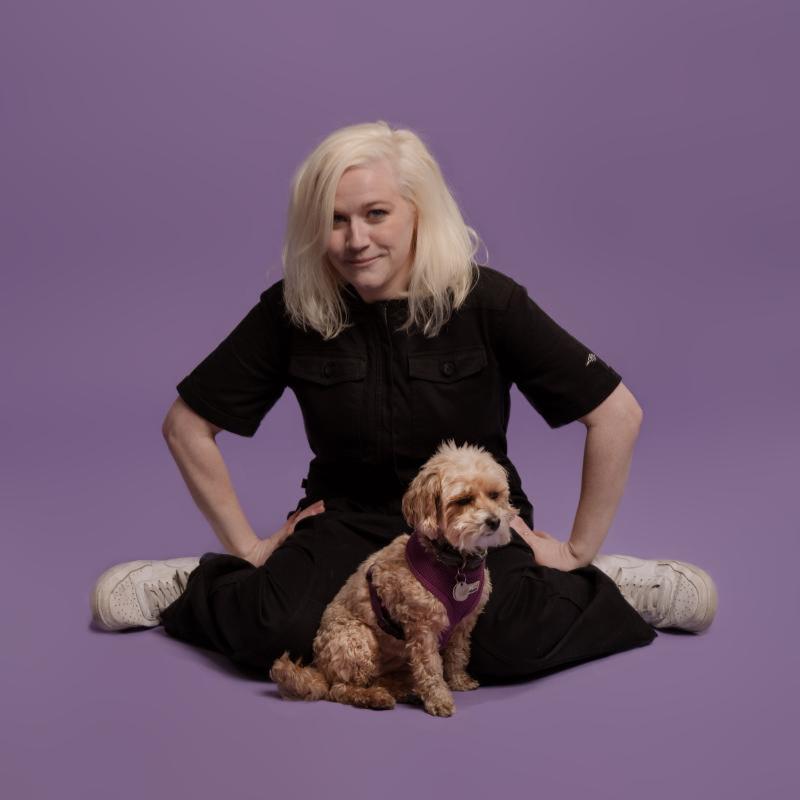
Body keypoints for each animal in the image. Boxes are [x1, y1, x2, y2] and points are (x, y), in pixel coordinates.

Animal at [272, 440, 516, 716]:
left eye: (495, 495)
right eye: (463, 500)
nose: (495, 521)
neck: (454, 563)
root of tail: (321, 669)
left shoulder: (463, 624)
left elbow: (457, 654)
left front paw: (458, 681)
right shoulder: (422, 630)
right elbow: (430, 668)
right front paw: (439, 699)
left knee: (381, 680)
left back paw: (403, 691)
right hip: (358, 639)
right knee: (340, 690)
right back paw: (375, 697)